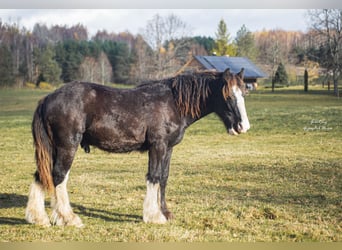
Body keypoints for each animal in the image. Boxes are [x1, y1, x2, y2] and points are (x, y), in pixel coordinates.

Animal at [26, 68, 248, 227]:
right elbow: (154, 177)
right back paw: (68, 218)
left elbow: (163, 178)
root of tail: (47, 98)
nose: (243, 126)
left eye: (244, 93)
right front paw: (153, 216)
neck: (173, 103)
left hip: (53, 149)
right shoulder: (158, 146)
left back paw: (39, 218)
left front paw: (165, 212)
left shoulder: (168, 148)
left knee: (41, 175)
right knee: (58, 176)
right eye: (228, 96)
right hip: (67, 147)